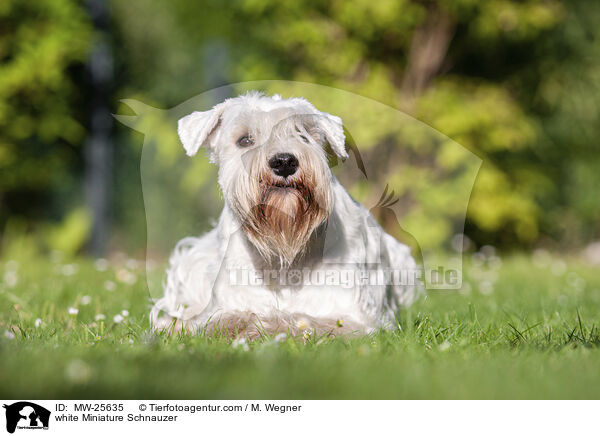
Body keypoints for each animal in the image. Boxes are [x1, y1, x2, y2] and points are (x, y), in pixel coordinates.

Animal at [150, 92, 422, 338]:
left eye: (303, 134)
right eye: (244, 140)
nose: (284, 161)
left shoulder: (353, 316)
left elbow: (300, 319)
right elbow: (223, 317)